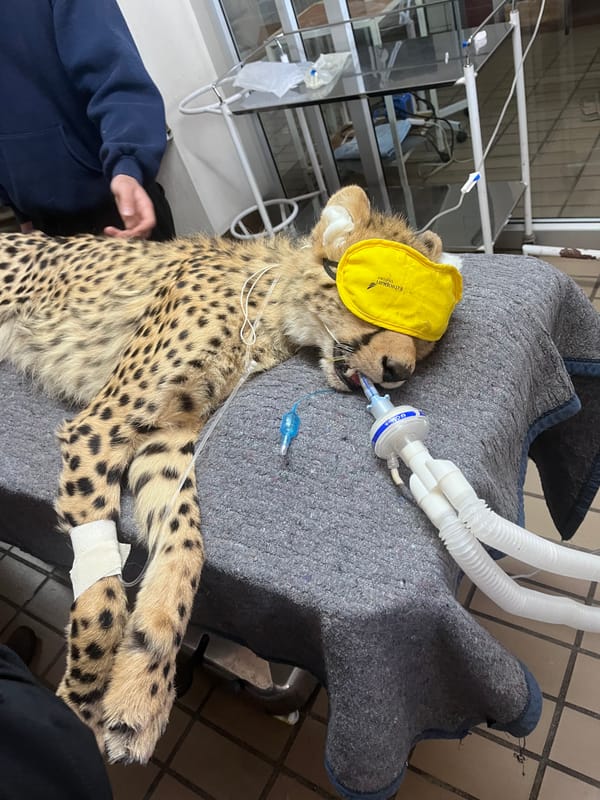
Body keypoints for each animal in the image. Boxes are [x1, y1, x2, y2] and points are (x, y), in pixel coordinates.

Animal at [0, 185, 446, 765]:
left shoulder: (166, 435)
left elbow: (186, 543)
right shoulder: (99, 426)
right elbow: (99, 587)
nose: (400, 370)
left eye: (426, 338)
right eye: (378, 294)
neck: (267, 303)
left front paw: (143, 681)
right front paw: (83, 693)